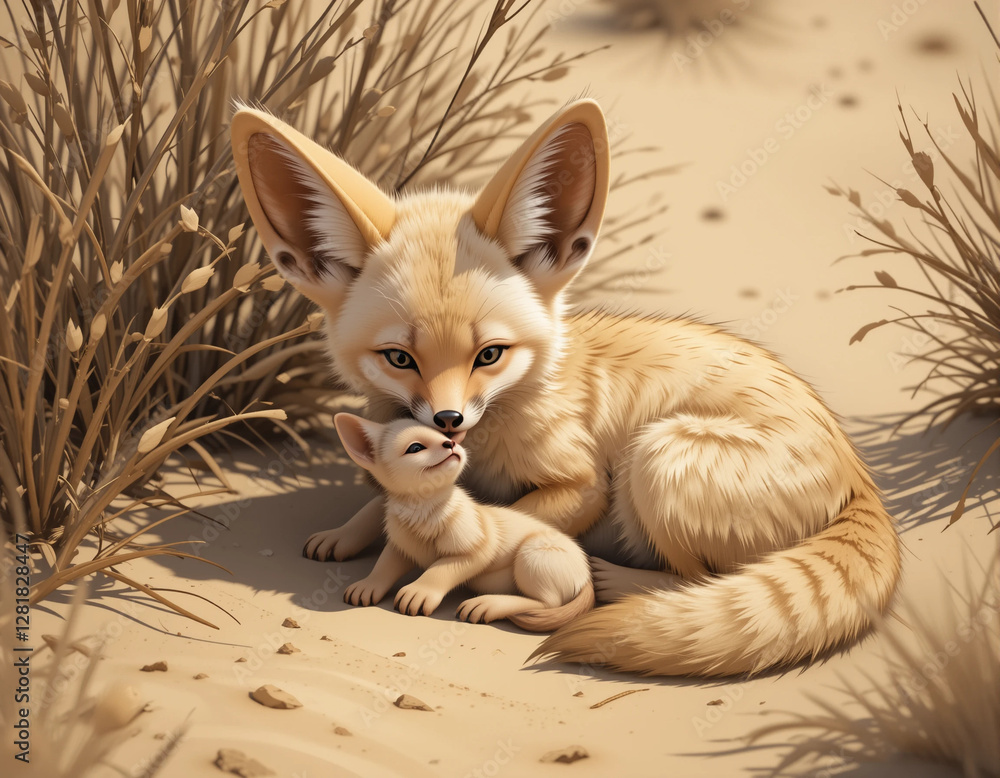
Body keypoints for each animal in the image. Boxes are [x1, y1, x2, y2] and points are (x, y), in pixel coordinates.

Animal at [333, 413, 595, 631]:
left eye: (445, 437)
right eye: (415, 447)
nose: (451, 443)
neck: (422, 508)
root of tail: (586, 573)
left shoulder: (476, 548)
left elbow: (439, 570)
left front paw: (419, 592)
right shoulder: (402, 546)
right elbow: (384, 564)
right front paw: (367, 585)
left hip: (533, 555)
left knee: (547, 602)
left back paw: (488, 604)